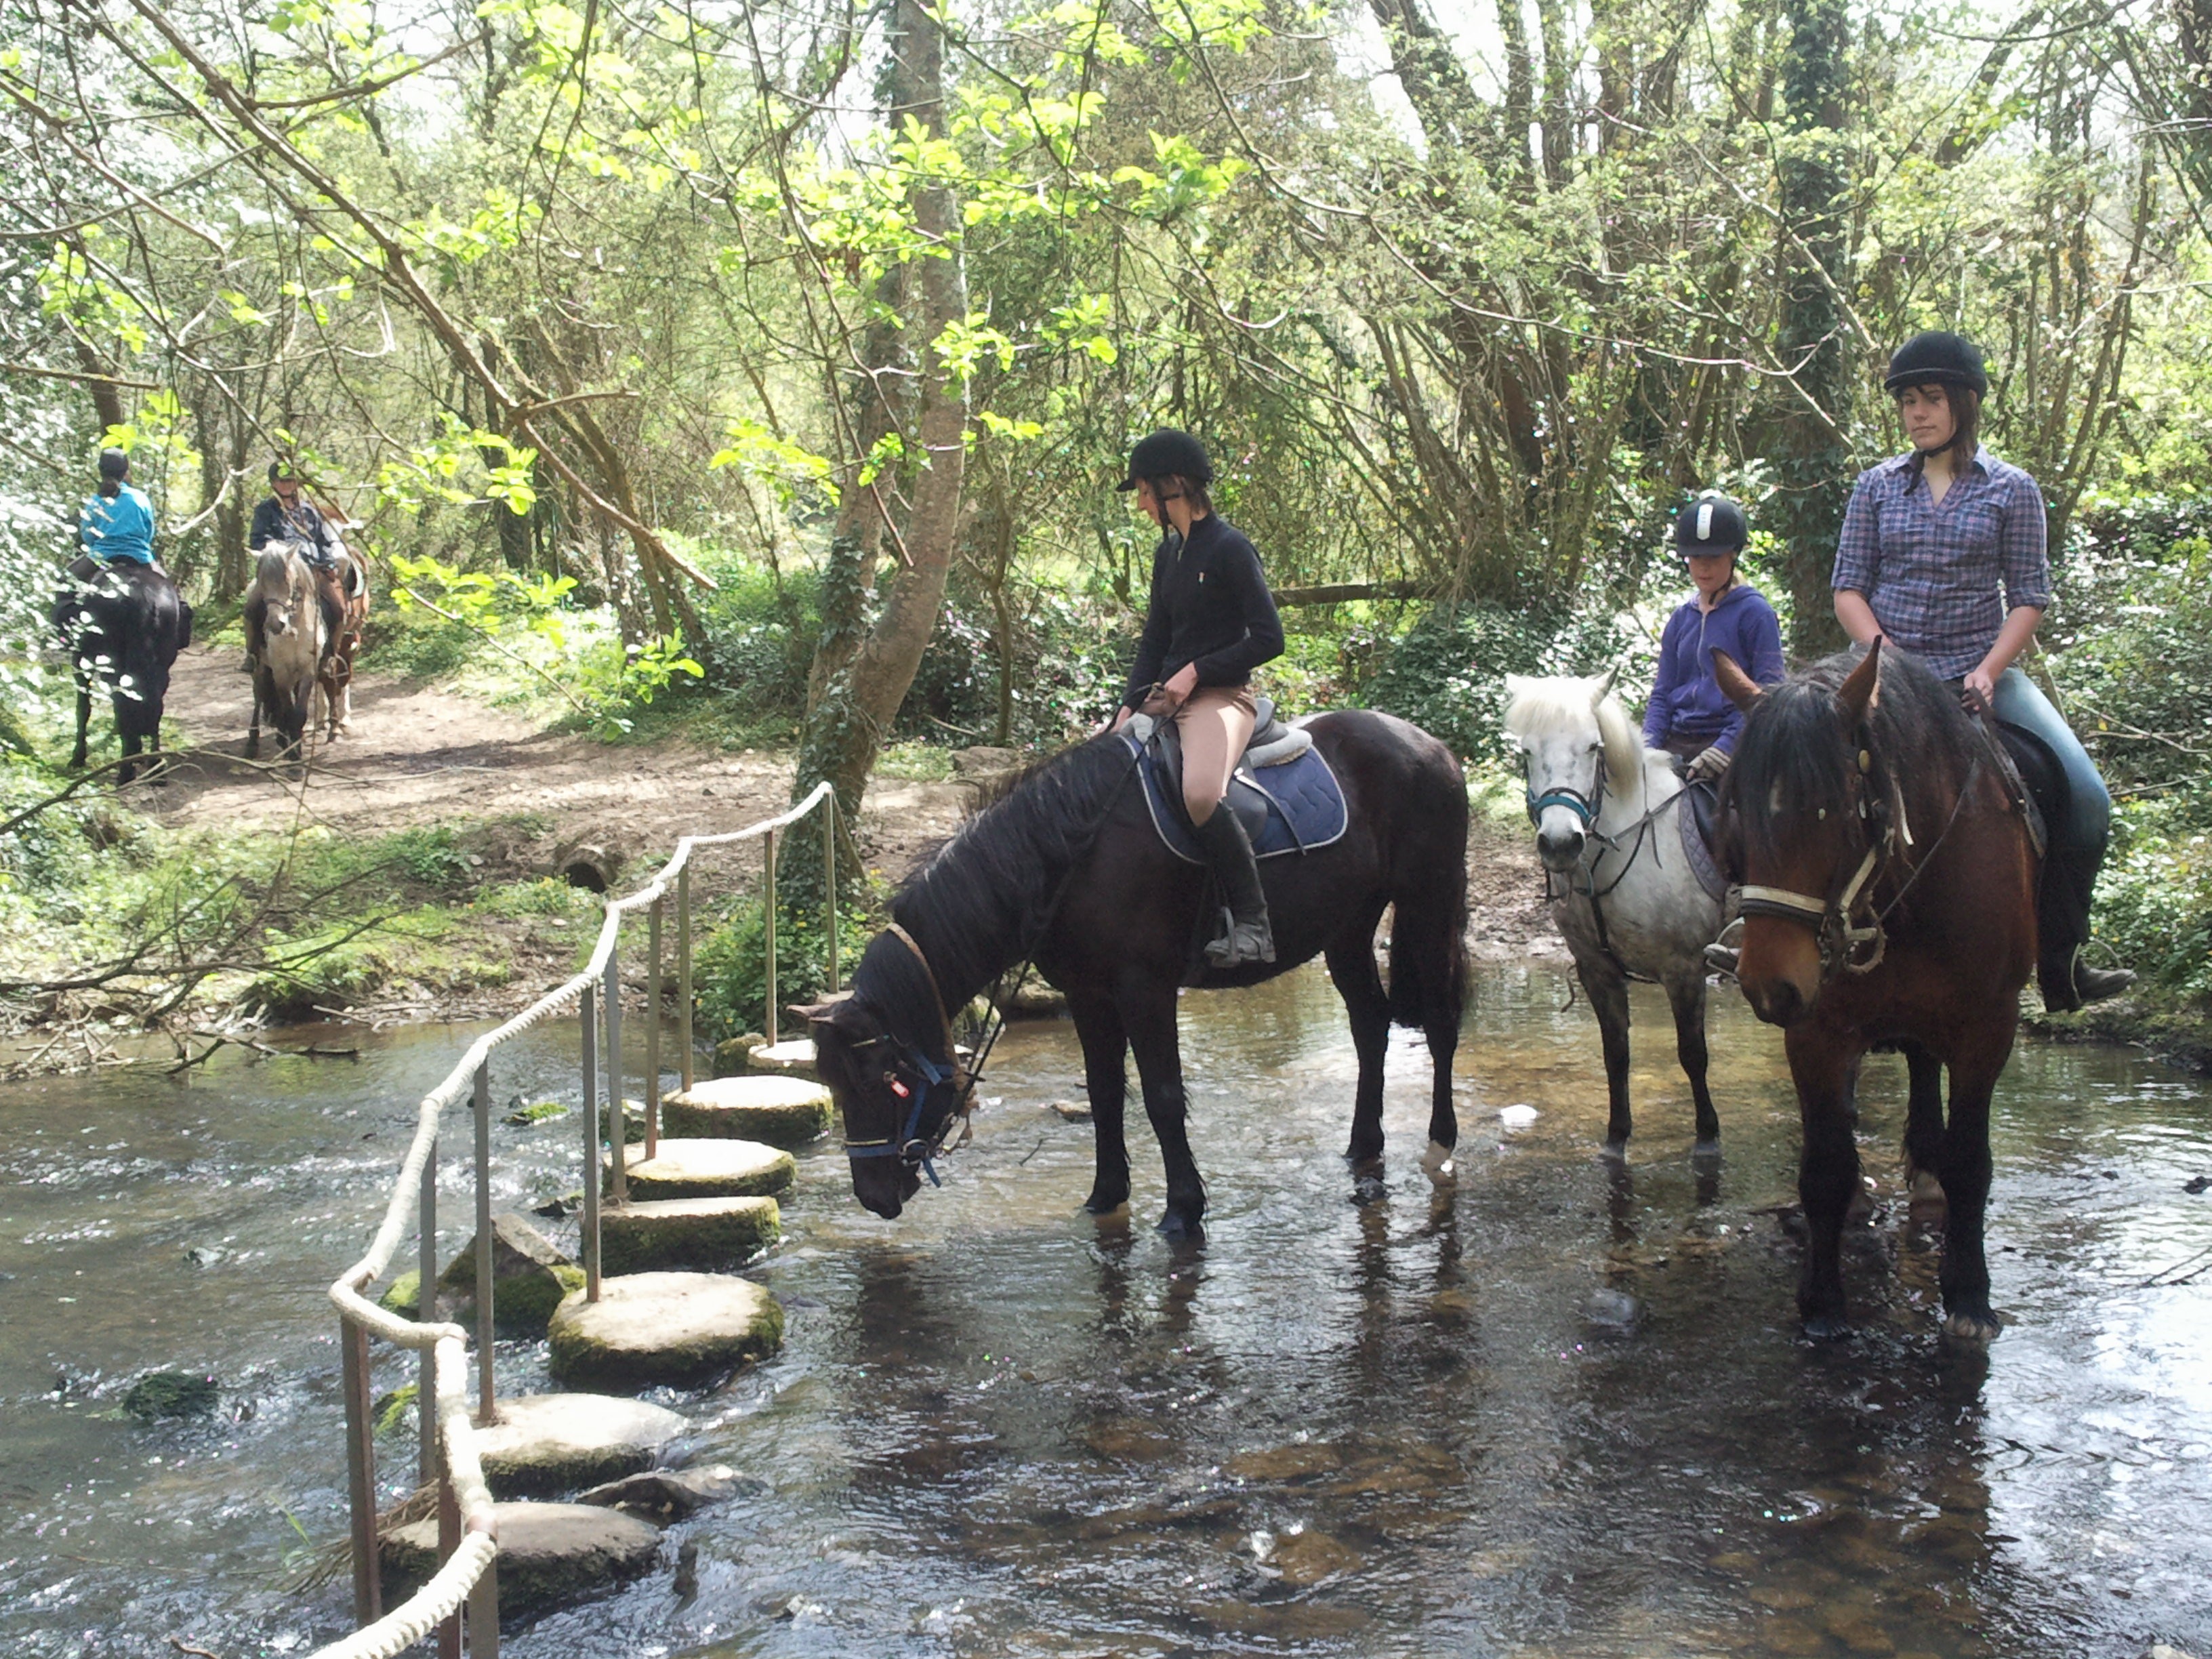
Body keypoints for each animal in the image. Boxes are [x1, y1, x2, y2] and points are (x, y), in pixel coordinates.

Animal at [50, 562, 192, 787]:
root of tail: (142, 595)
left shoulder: (80, 662)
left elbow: (83, 708)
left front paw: (78, 758)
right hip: (160, 666)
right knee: (152, 707)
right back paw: (155, 768)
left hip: (110, 663)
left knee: (122, 705)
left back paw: (126, 770)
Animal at [800, 708, 1469, 1238]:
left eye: (882, 1082)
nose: (873, 1199)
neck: (1069, 856)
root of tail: (1430, 743)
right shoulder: (1088, 993)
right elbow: (1104, 1094)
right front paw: (1104, 1195)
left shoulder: (1145, 987)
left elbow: (1163, 1097)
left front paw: (1183, 1210)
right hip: (1348, 930)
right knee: (1371, 1025)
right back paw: (1362, 1146)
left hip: (1429, 905)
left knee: (1439, 1024)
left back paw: (1440, 1141)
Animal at [1513, 668, 1734, 1159]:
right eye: (1526, 752)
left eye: (1593, 747)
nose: (1560, 844)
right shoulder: (1598, 970)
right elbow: (1616, 1054)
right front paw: (1616, 1138)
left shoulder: (1684, 968)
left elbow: (1693, 1053)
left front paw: (1708, 1137)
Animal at [1707, 641, 2034, 1345]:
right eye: (1736, 811)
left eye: (1832, 812)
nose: (1769, 986)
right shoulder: (1816, 1032)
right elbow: (1825, 1167)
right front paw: (1822, 1303)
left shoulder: (1988, 1027)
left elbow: (1972, 1162)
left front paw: (1970, 1297)